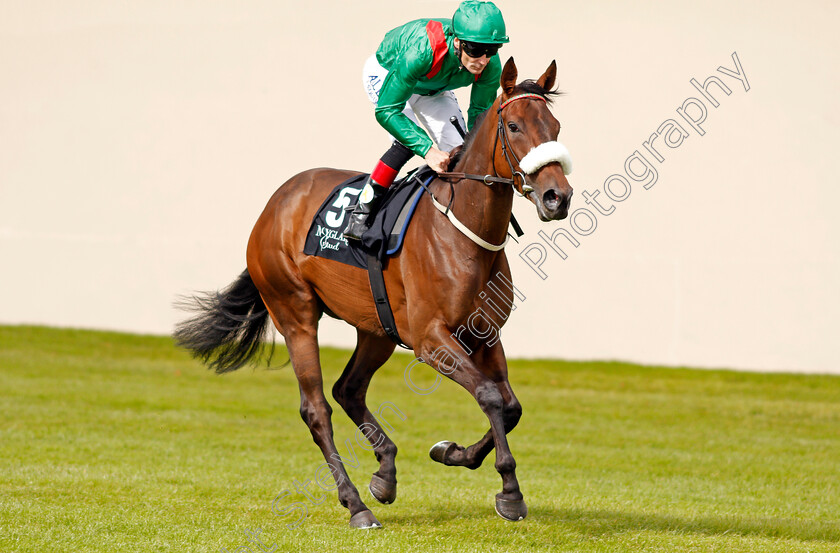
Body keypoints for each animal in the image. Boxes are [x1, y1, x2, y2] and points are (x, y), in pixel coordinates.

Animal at [176, 58, 572, 528]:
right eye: (513, 126)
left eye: (556, 126)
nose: (557, 197)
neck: (461, 232)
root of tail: (274, 205)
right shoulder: (431, 341)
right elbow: (490, 396)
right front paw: (509, 491)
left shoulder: (485, 335)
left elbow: (510, 406)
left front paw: (452, 453)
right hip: (294, 311)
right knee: (316, 409)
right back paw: (356, 505)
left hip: (377, 328)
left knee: (348, 389)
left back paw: (384, 473)